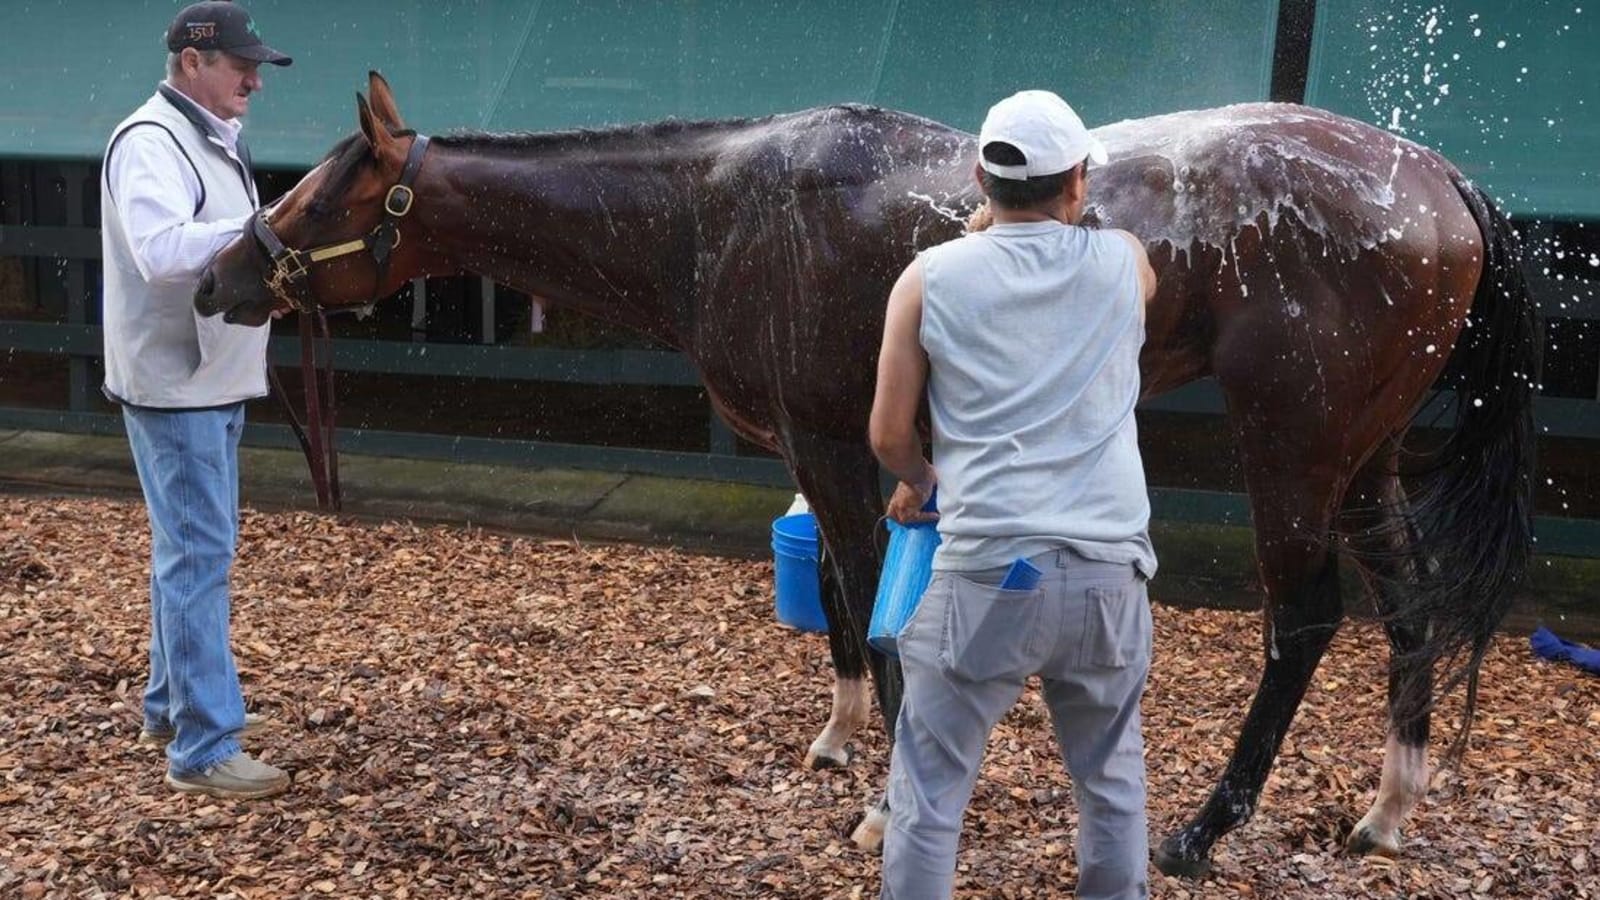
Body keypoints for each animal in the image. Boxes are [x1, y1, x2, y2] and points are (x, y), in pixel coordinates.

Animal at [193, 71, 1529, 877]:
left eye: (322, 194)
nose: (218, 278)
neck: (715, 209)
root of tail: (1439, 182)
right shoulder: (820, 447)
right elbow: (842, 602)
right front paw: (840, 742)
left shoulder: (842, 448)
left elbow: (877, 612)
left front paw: (887, 799)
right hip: (1363, 457)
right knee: (1408, 608)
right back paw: (1389, 808)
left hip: (1292, 452)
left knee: (1304, 621)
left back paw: (1202, 830)